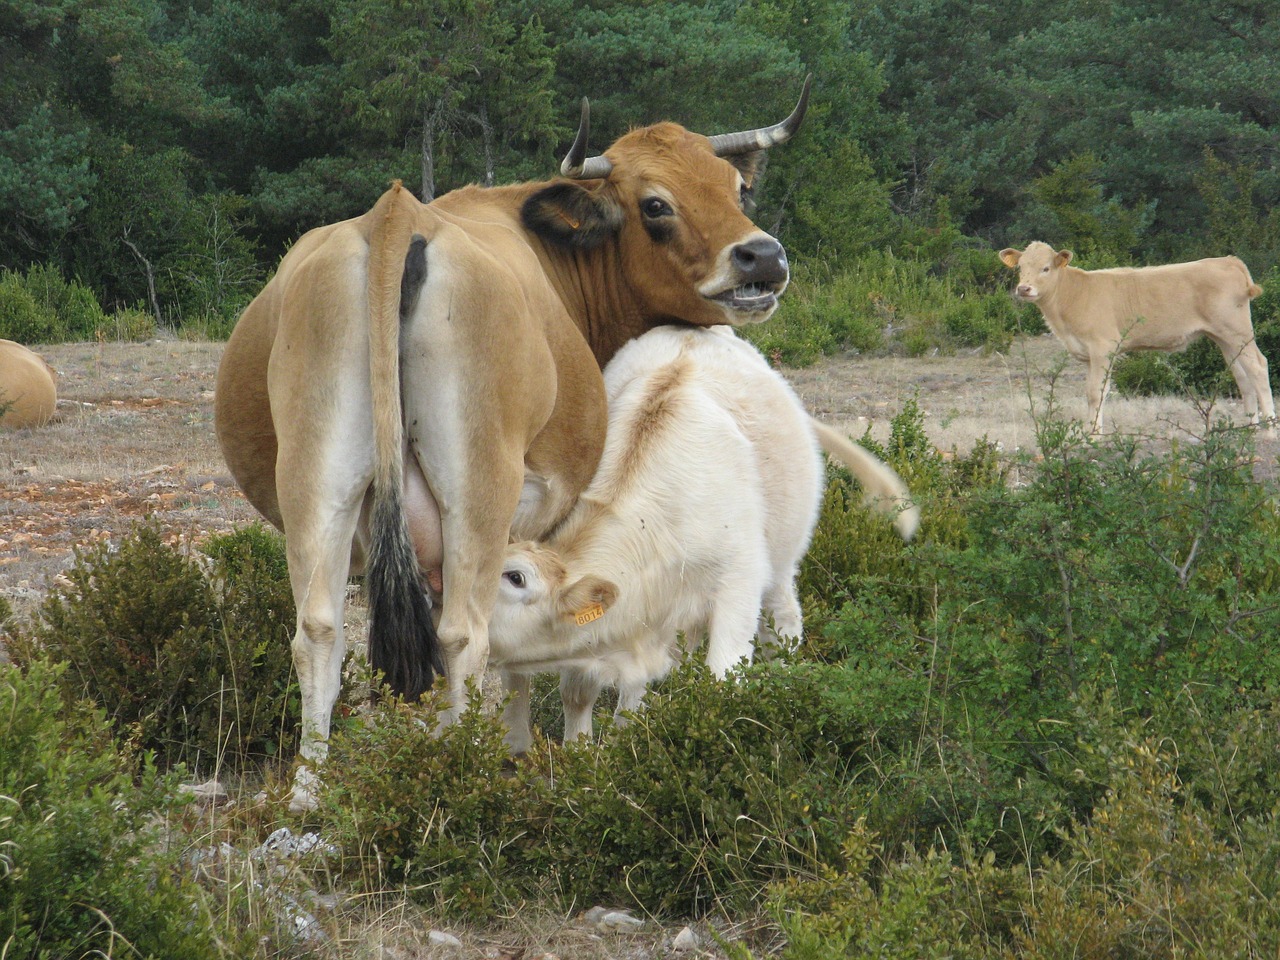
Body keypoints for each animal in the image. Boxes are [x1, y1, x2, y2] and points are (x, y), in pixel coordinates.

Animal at [213, 80, 803, 814]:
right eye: (655, 204)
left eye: (735, 187)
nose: (763, 257)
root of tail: (395, 217)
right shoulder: (541, 527)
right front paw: (528, 748)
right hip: (478, 492)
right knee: (464, 636)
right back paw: (456, 773)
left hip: (317, 488)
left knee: (319, 632)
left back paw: (309, 793)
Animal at [483, 325, 916, 752]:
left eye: (515, 577)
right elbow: (581, 694)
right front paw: (585, 754)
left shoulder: (737, 588)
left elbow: (723, 684)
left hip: (782, 559)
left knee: (784, 622)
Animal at [1003, 241, 1274, 435]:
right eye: (1020, 268)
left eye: (1045, 268)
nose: (1024, 288)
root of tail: (1228, 260)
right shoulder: (1089, 354)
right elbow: (1092, 392)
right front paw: (1090, 433)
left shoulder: (1103, 347)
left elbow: (1096, 392)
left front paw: (1094, 437)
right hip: (1224, 338)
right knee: (1242, 375)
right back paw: (1248, 429)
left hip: (1237, 332)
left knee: (1258, 367)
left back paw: (1269, 429)